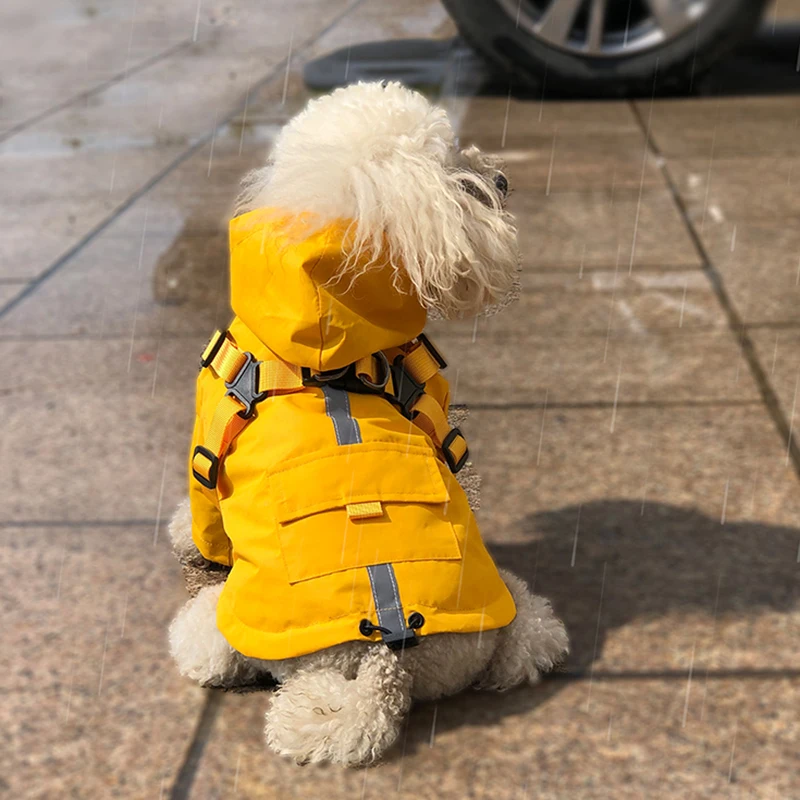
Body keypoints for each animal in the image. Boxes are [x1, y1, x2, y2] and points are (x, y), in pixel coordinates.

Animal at [169, 83, 568, 768]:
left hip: (226, 630)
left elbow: (203, 523)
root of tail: (389, 656)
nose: (503, 179)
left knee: (212, 650)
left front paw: (183, 539)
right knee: (528, 630)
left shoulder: (207, 452)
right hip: (496, 612)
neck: (330, 342)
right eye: (456, 174)